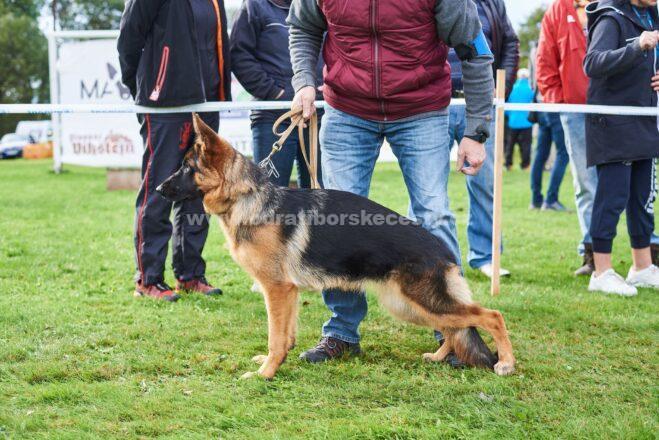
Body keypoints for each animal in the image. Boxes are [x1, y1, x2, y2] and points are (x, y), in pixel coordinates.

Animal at [159, 115, 516, 380]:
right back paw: (441, 355)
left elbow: (276, 336)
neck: (247, 197)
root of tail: (442, 249)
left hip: (421, 301)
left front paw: (265, 374)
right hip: (408, 304)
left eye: (188, 168)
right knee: (456, 327)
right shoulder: (287, 292)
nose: (160, 189)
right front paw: (276, 362)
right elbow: (286, 335)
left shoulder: (276, 289)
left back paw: (506, 362)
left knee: (490, 316)